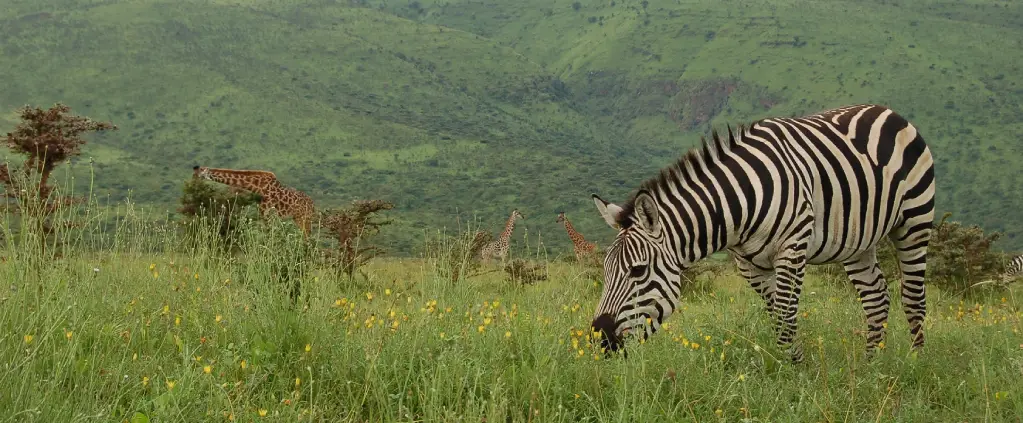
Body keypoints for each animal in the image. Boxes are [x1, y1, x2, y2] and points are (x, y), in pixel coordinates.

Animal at [593, 103, 937, 360]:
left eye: (638, 271)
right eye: (606, 271)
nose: (600, 338)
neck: (739, 204)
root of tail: (884, 109)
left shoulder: (793, 247)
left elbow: (786, 315)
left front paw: (795, 379)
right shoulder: (748, 264)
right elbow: (776, 316)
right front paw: (792, 365)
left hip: (915, 221)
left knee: (913, 297)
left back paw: (915, 362)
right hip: (857, 241)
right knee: (876, 298)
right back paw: (871, 365)